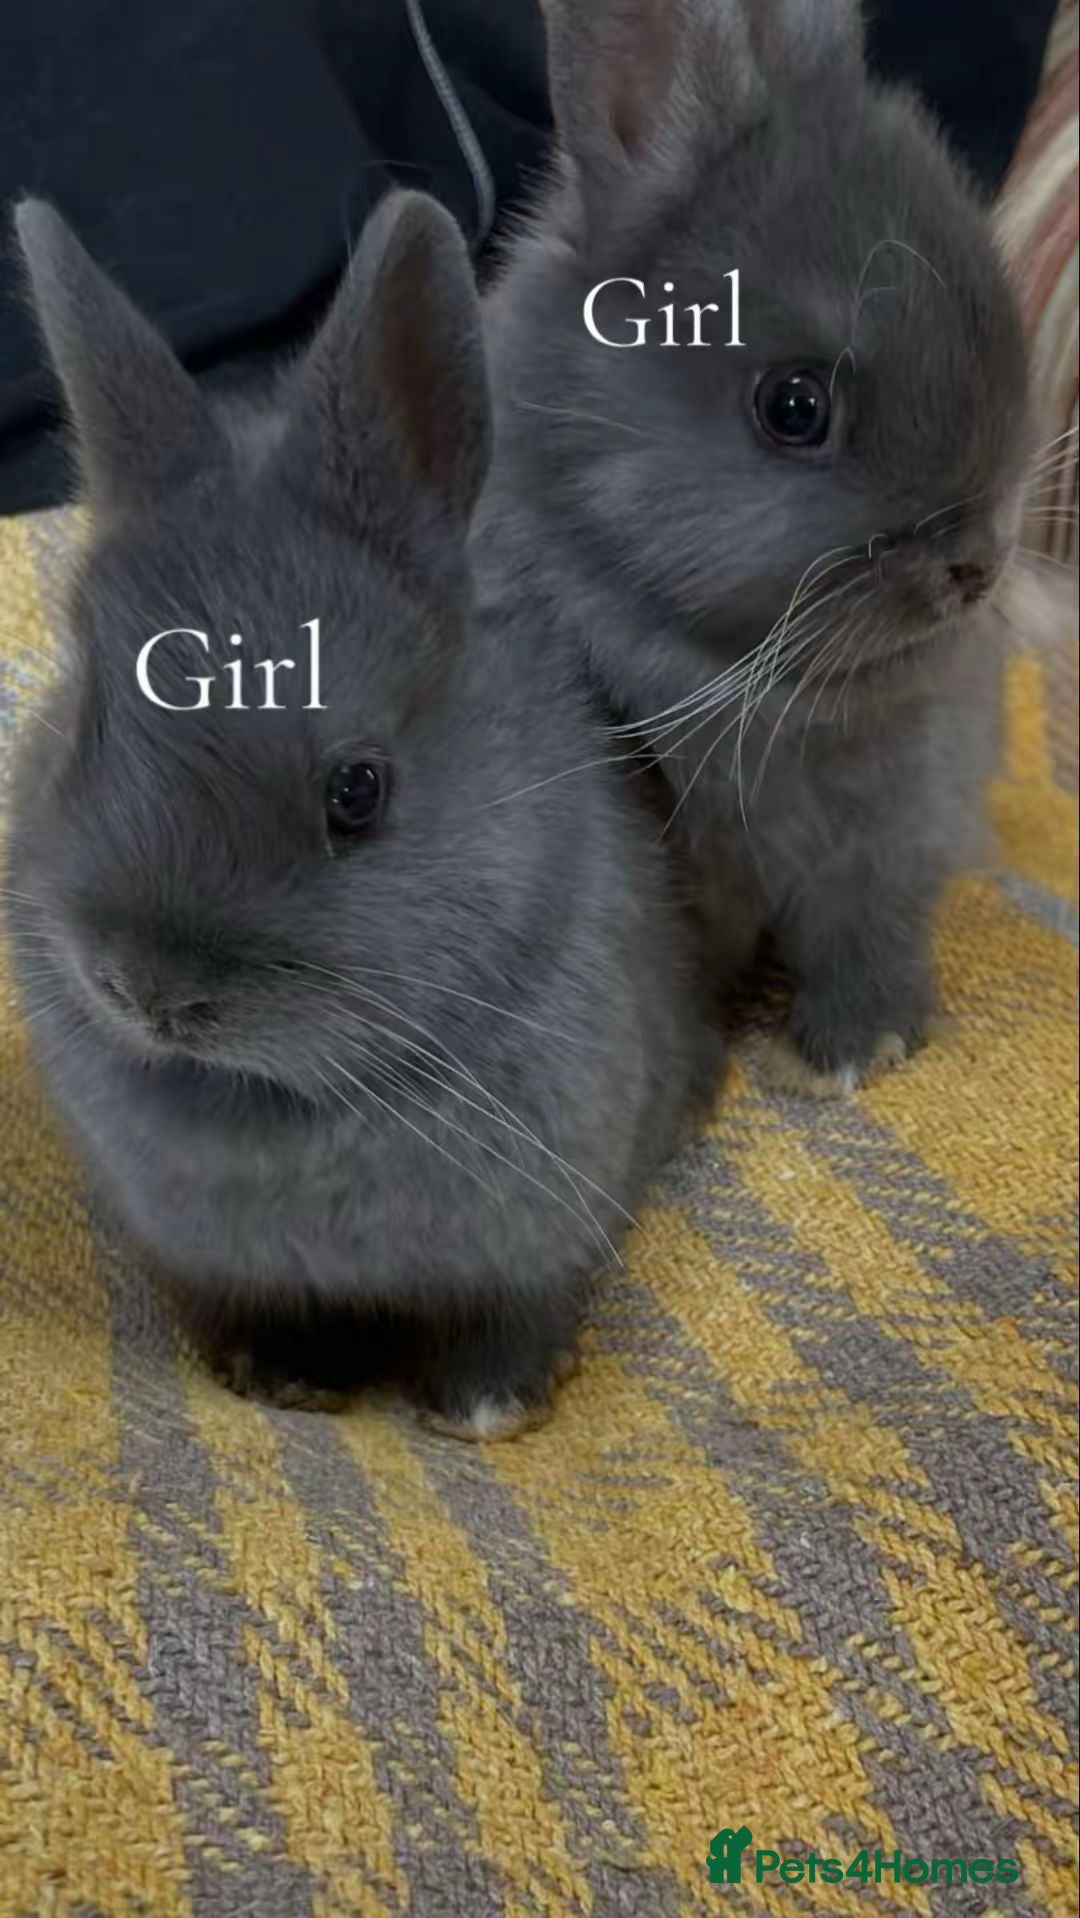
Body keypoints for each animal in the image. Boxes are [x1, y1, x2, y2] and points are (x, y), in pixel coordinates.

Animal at [5, 189, 715, 1437]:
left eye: (359, 790)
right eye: (84, 721)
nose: (146, 991)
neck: (286, 1100)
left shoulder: (540, 1240)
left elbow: (514, 1317)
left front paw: (484, 1411)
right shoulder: (218, 1263)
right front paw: (278, 1380)